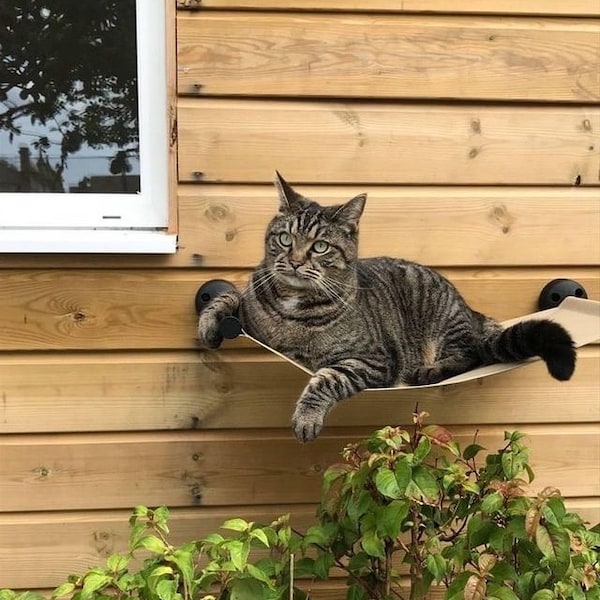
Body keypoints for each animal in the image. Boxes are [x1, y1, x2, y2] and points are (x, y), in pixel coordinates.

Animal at [197, 172, 576, 440]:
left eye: (320, 246)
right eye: (285, 238)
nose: (293, 261)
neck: (292, 309)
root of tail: (473, 313)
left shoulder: (370, 360)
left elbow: (325, 379)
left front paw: (306, 417)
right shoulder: (252, 301)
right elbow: (229, 296)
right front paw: (208, 324)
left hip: (443, 319)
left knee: (471, 353)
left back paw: (429, 371)